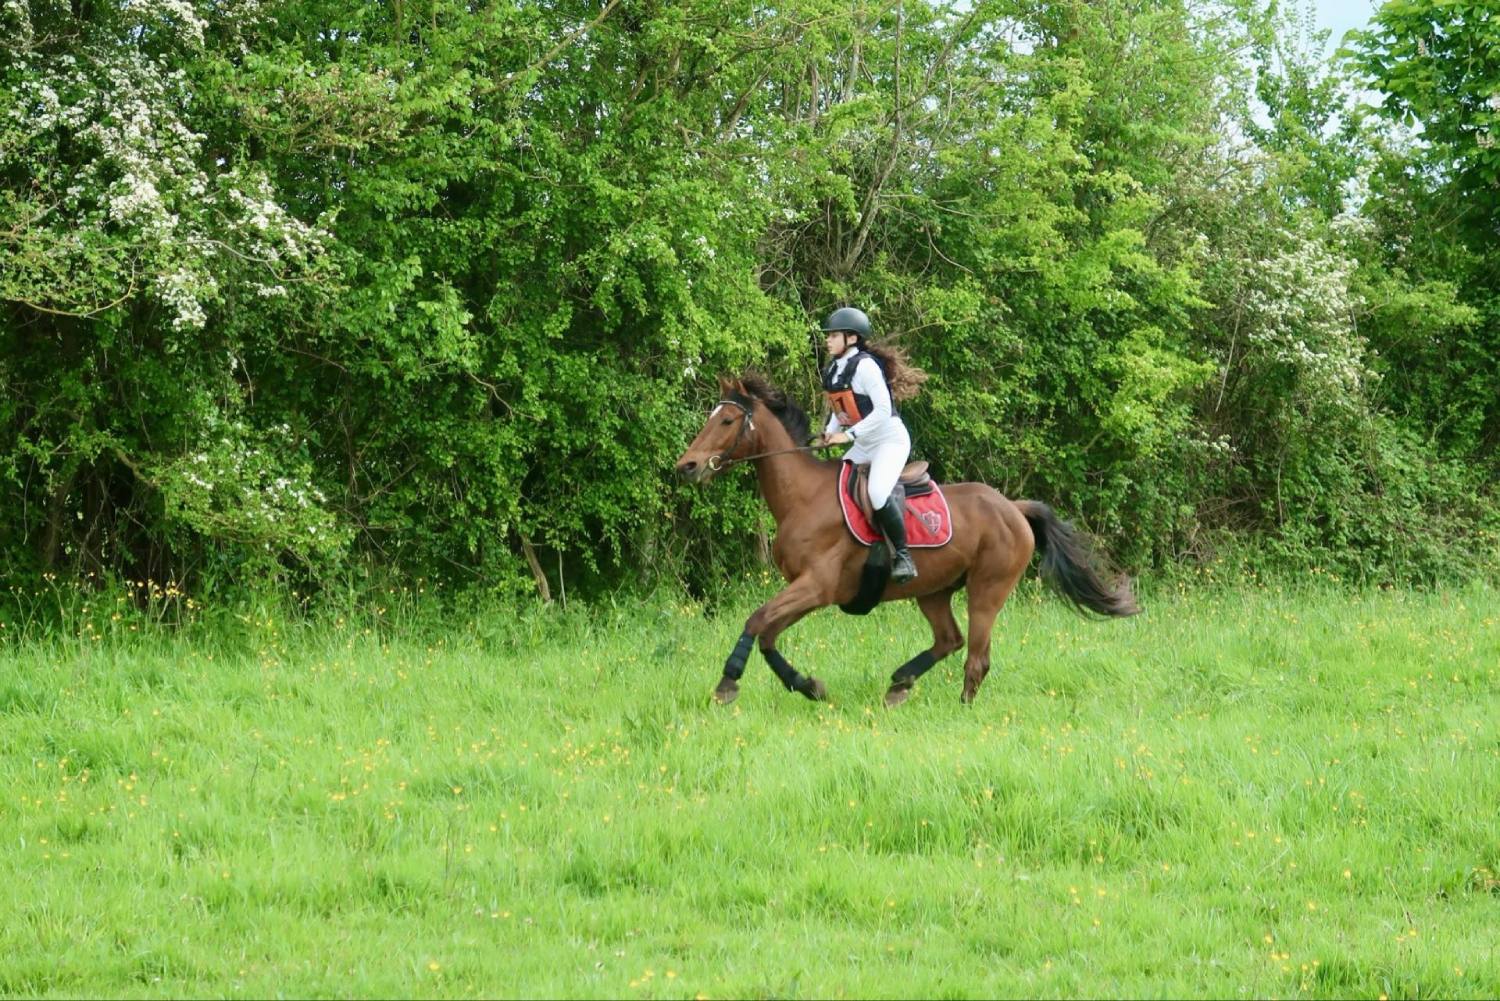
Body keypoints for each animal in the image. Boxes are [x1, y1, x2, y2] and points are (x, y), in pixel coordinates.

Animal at [672, 372, 1134, 708]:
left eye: (726, 421)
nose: (687, 466)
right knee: (949, 640)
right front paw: (808, 686)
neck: (802, 498)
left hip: (988, 589)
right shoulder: (807, 591)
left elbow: (756, 620)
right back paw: (899, 685)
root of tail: (1013, 508)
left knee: (976, 656)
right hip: (933, 590)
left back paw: (960, 708)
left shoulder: (815, 587)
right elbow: (768, 633)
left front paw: (728, 683)